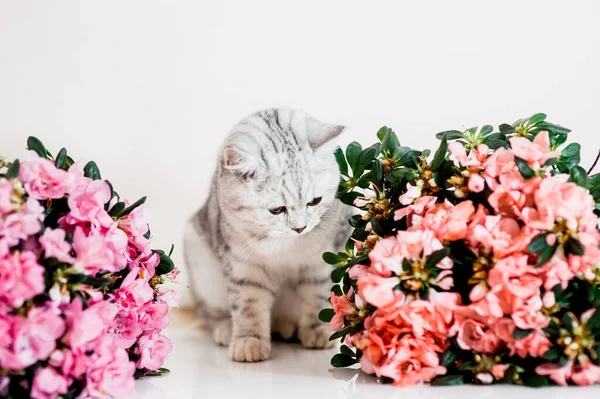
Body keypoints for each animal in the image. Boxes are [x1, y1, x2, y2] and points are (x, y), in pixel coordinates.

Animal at [184, 108, 352, 362]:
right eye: (276, 210)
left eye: (315, 201)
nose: (300, 228)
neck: (286, 246)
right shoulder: (243, 266)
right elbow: (249, 306)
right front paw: (249, 343)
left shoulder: (320, 262)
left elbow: (317, 297)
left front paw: (317, 332)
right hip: (201, 266)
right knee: (214, 315)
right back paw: (228, 329)